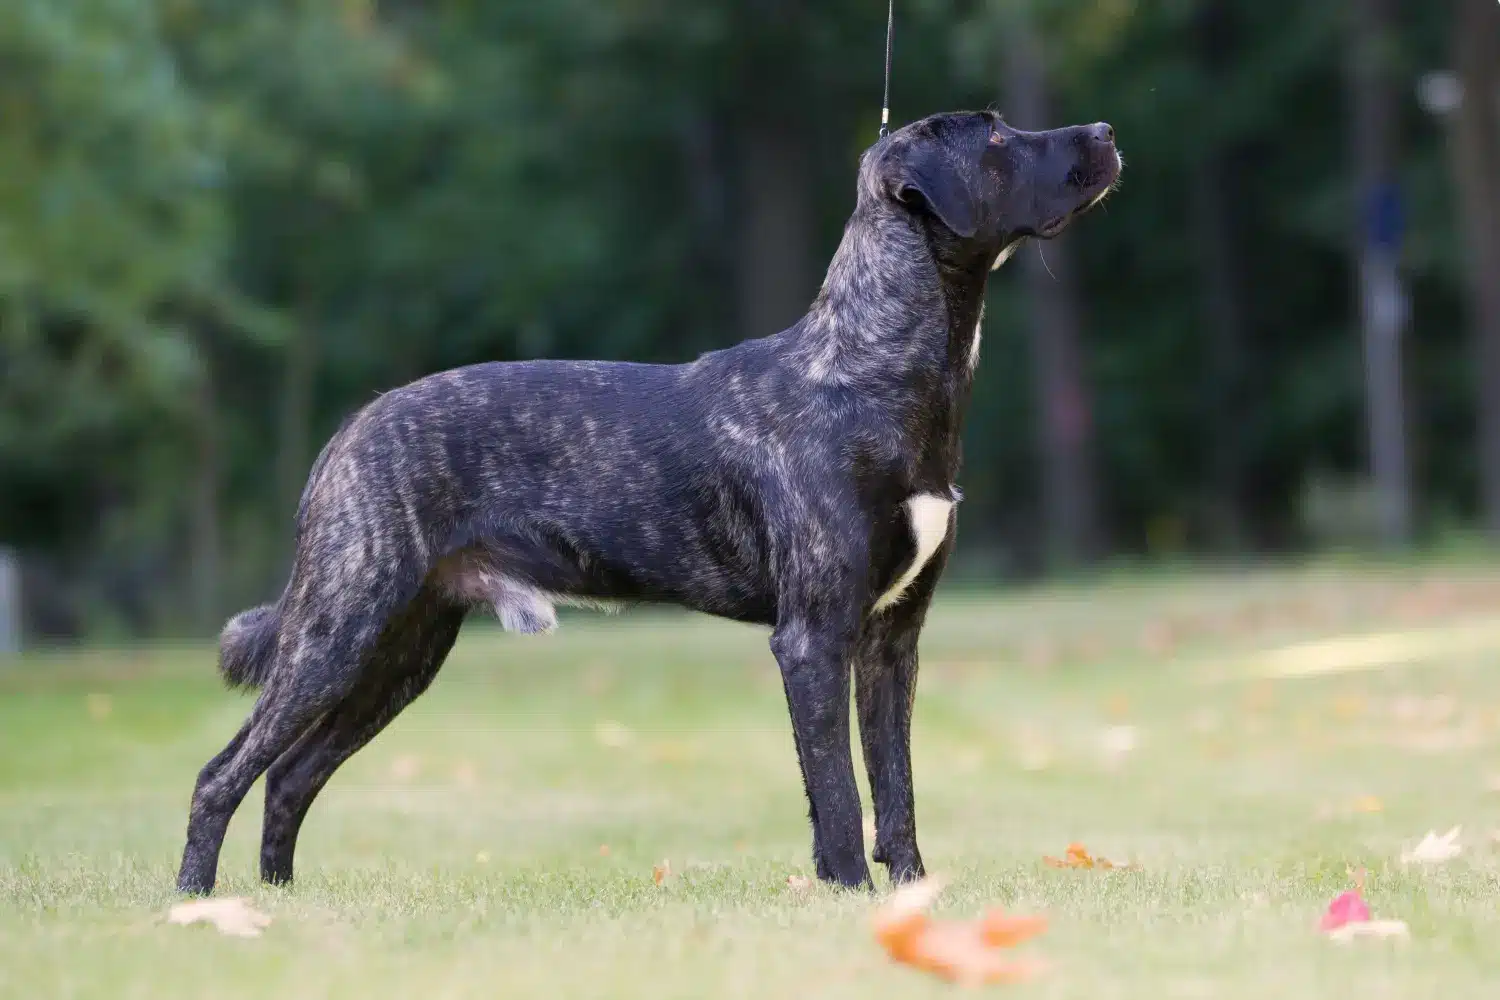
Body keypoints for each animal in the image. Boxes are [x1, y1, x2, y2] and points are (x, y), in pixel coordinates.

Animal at [175, 111, 1122, 899]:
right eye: (995, 138)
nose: (1105, 134)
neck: (867, 371)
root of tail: (345, 435)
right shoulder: (814, 638)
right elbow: (837, 791)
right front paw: (851, 896)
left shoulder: (891, 640)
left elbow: (895, 789)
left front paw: (913, 899)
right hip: (338, 628)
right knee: (224, 773)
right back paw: (197, 902)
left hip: (403, 649)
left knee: (291, 775)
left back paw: (280, 900)